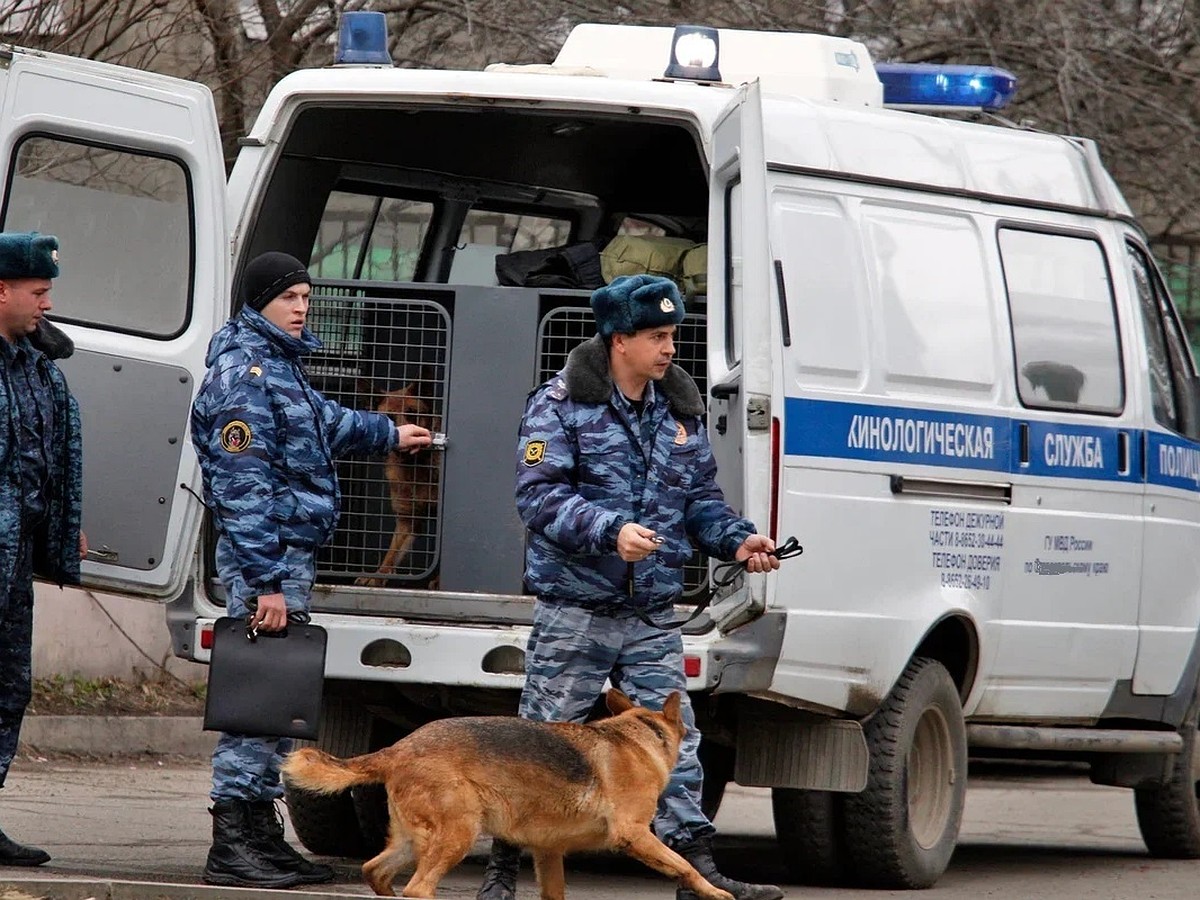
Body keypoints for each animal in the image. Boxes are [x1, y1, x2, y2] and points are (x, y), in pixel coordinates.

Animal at [280, 696, 729, 897]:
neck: (638, 735)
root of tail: (398, 748)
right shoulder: (633, 834)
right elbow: (685, 866)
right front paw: (715, 892)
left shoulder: (549, 854)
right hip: (458, 834)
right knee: (418, 888)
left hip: (414, 841)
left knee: (376, 870)